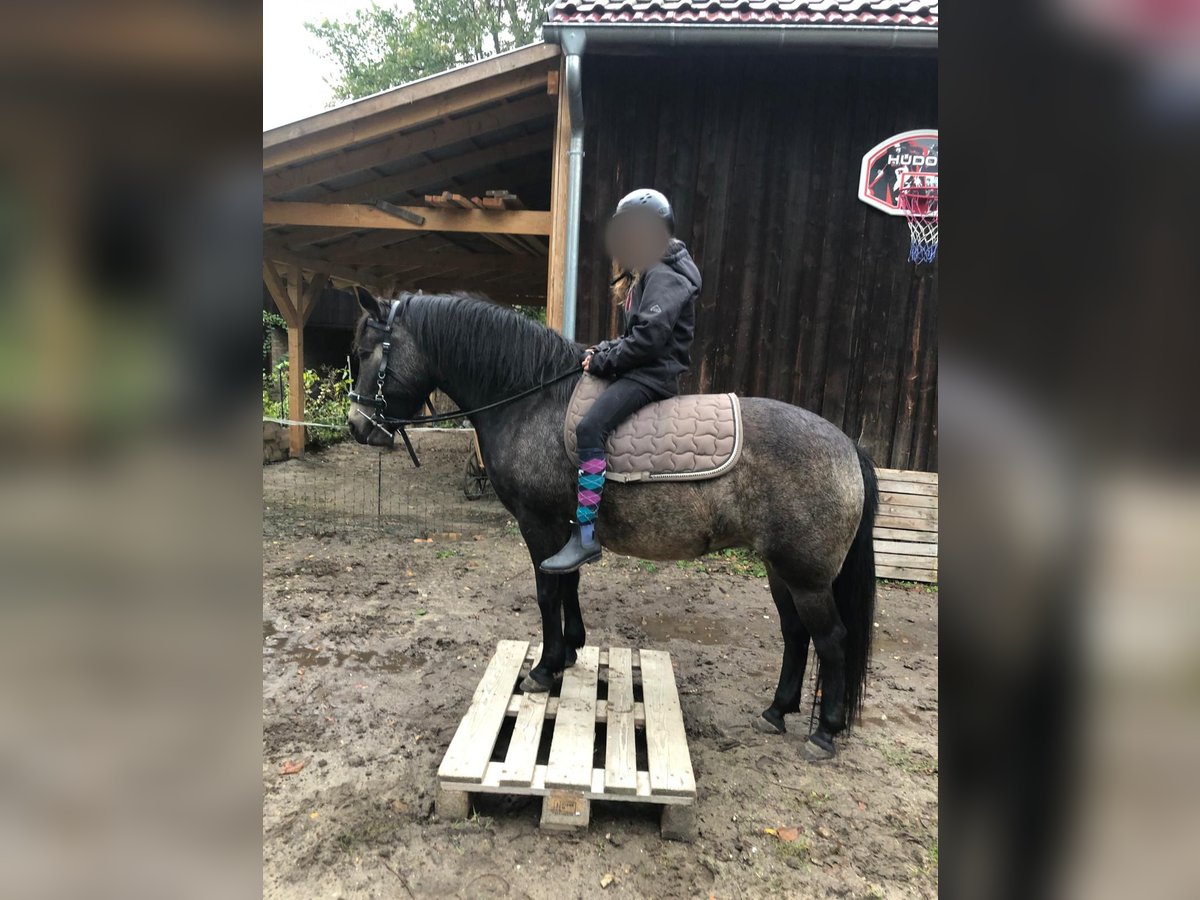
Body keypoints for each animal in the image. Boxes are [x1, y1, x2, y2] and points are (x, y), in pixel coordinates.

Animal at [343, 289, 878, 763]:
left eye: (366, 352)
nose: (356, 426)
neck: (531, 400)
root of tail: (848, 446)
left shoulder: (538, 524)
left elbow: (548, 592)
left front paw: (545, 669)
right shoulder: (565, 529)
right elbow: (569, 581)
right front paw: (571, 650)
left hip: (806, 577)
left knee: (832, 640)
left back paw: (824, 733)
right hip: (780, 570)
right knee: (795, 633)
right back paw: (776, 710)